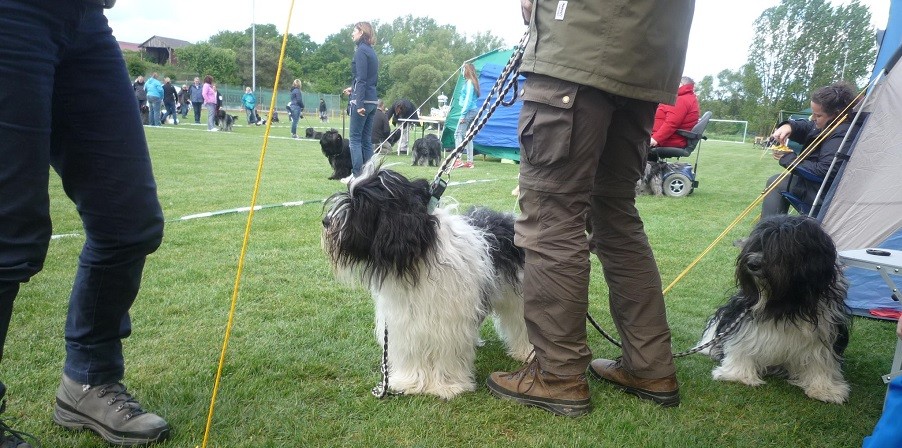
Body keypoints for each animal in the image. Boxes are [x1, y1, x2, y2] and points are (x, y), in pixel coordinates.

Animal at [322, 164, 532, 400]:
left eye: (360, 203)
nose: (326, 221)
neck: (419, 252)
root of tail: (510, 219)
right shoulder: (405, 319)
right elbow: (411, 351)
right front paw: (411, 382)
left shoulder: (447, 321)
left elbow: (446, 351)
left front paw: (446, 385)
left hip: (518, 295)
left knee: (520, 322)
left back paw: (526, 352)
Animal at [700, 215, 856, 404]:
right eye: (757, 243)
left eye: (781, 248)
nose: (752, 263)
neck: (786, 302)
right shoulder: (744, 317)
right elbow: (742, 345)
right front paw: (738, 375)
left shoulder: (826, 328)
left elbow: (821, 359)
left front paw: (825, 389)